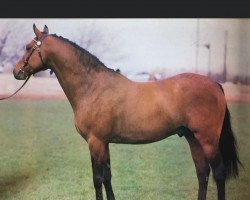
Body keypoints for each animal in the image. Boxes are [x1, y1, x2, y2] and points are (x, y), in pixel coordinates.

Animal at [12, 25, 241, 200]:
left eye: (28, 47)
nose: (16, 71)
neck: (93, 87)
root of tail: (215, 84)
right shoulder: (103, 143)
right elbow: (107, 176)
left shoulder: (95, 141)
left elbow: (97, 179)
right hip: (193, 138)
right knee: (202, 173)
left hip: (208, 140)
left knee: (219, 174)